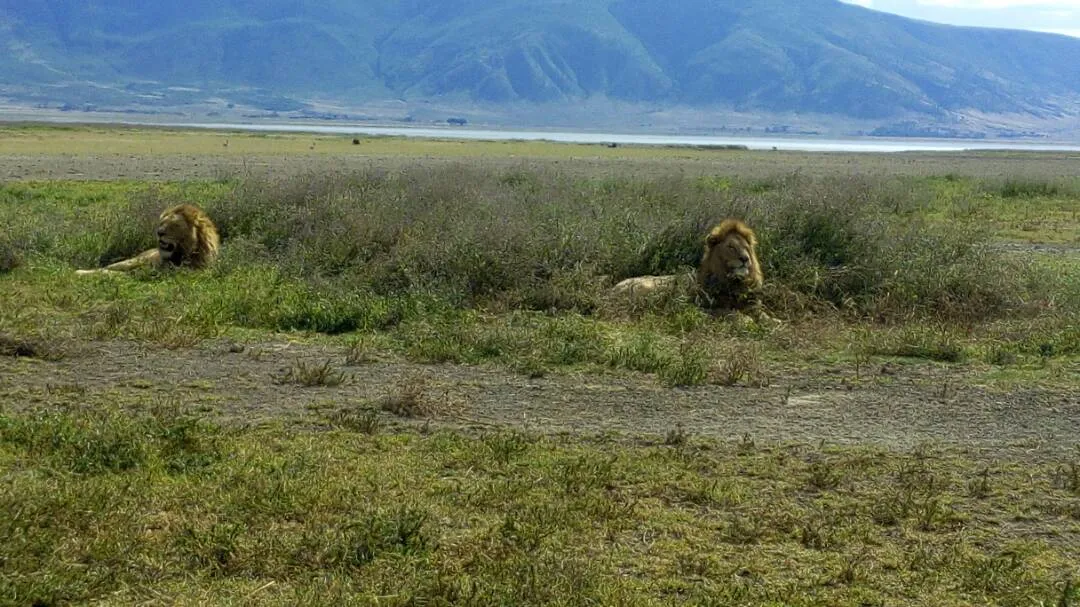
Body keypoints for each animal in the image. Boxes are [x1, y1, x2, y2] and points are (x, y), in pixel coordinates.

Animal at [76, 204, 220, 275]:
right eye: (162, 222)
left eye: (174, 225)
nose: (159, 232)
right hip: (133, 261)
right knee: (108, 267)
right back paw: (80, 271)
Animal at [611, 218, 773, 322]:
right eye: (731, 247)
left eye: (746, 247)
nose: (745, 259)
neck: (735, 281)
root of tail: (612, 290)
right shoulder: (703, 307)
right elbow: (730, 313)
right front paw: (746, 320)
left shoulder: (752, 306)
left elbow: (767, 317)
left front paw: (774, 323)